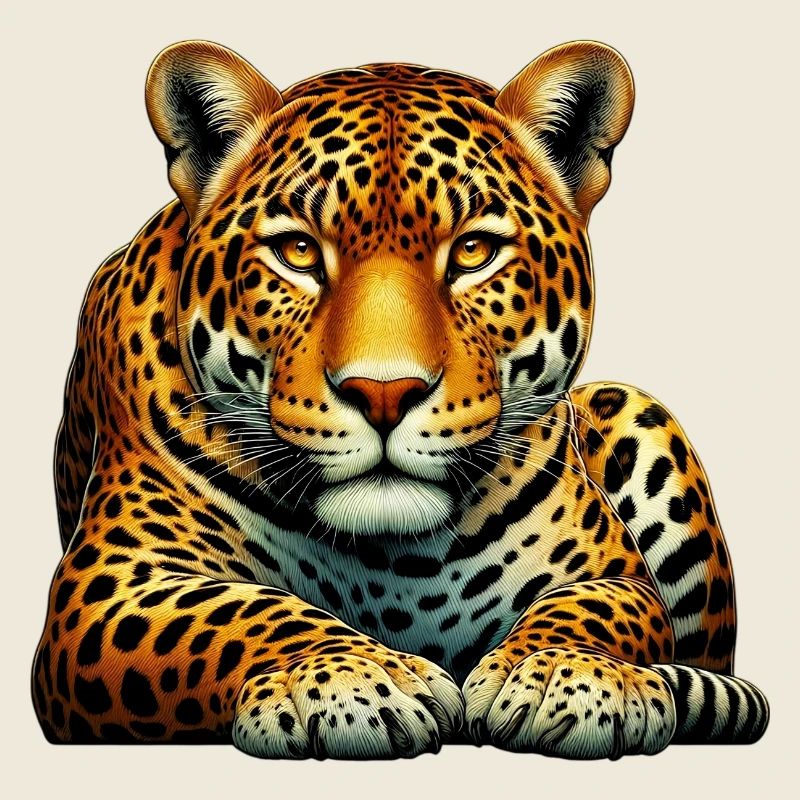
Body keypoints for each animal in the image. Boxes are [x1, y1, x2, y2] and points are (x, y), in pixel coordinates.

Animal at [32, 39, 769, 760]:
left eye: (473, 251)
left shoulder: (615, 574)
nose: (383, 394)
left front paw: (566, 673)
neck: (394, 559)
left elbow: (597, 610)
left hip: (636, 408)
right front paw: (351, 678)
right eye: (297, 251)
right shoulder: (108, 586)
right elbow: (233, 614)